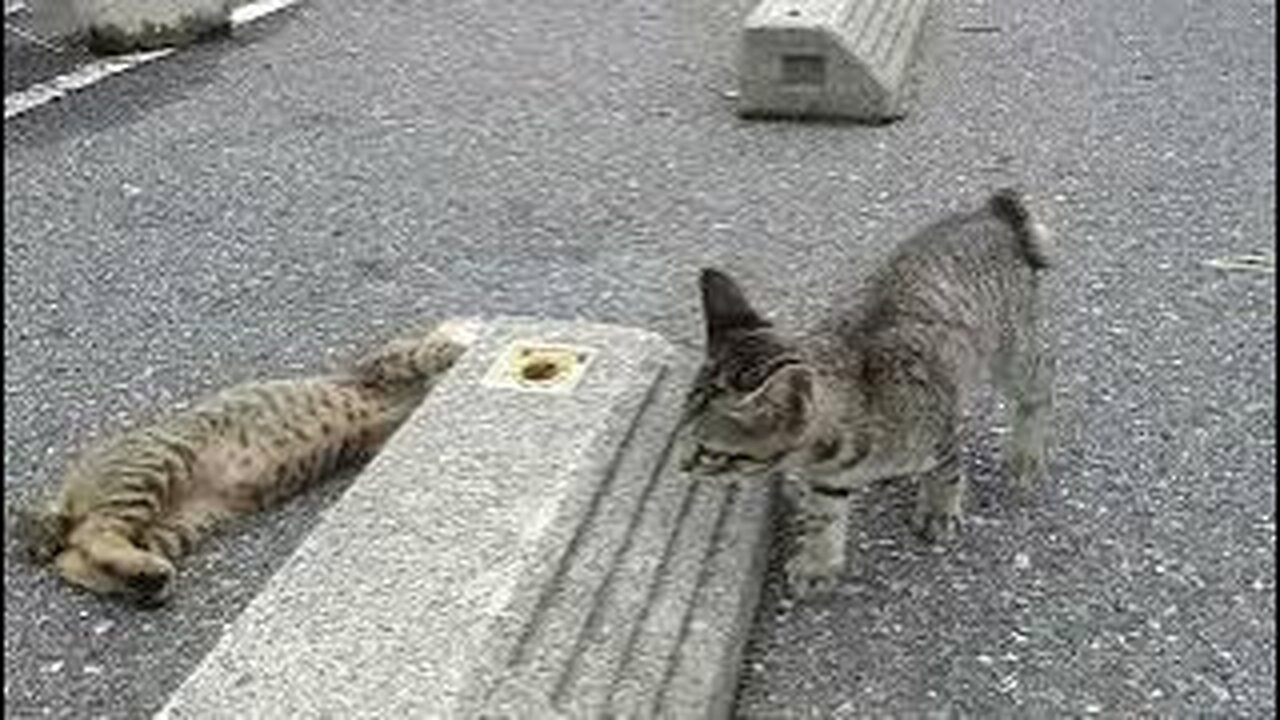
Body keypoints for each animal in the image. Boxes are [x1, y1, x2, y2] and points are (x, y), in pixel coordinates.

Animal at [17, 316, 478, 602]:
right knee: (90, 535)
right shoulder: (375, 367)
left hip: (181, 522)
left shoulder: (380, 435)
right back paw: (146, 575)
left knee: (71, 557)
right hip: (154, 468)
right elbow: (423, 352)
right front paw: (461, 346)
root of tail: (66, 491)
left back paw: (146, 581)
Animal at [686, 189, 1054, 594]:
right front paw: (818, 563)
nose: (683, 466)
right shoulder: (827, 478)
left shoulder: (940, 424)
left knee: (1041, 382)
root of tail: (991, 214)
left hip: (1011, 351)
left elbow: (947, 472)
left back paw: (1025, 453)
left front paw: (939, 510)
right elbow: (823, 515)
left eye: (711, 452)